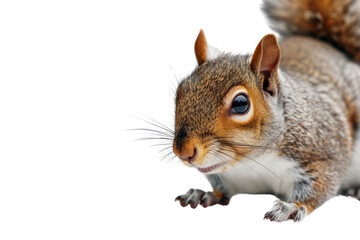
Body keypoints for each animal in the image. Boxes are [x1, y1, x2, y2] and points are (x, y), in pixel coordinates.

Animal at [171, 0, 360, 223]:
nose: (183, 152)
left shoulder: (324, 153)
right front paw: (204, 194)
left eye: (240, 103)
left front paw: (292, 207)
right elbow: (221, 190)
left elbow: (321, 185)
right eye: (180, 91)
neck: (253, 162)